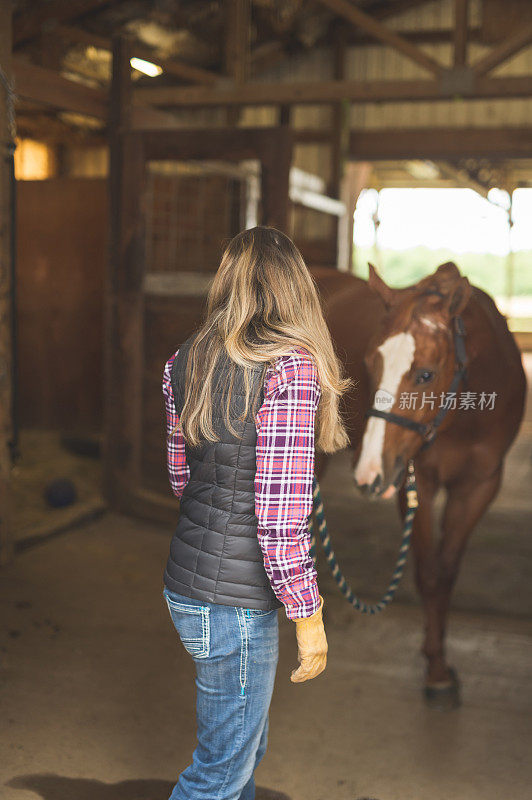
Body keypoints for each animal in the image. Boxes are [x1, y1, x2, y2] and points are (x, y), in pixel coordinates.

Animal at [312, 262, 524, 708]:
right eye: (370, 365)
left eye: (425, 374)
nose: (369, 473)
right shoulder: (415, 480)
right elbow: (427, 571)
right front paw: (437, 673)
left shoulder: (480, 485)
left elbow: (446, 572)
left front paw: (437, 656)